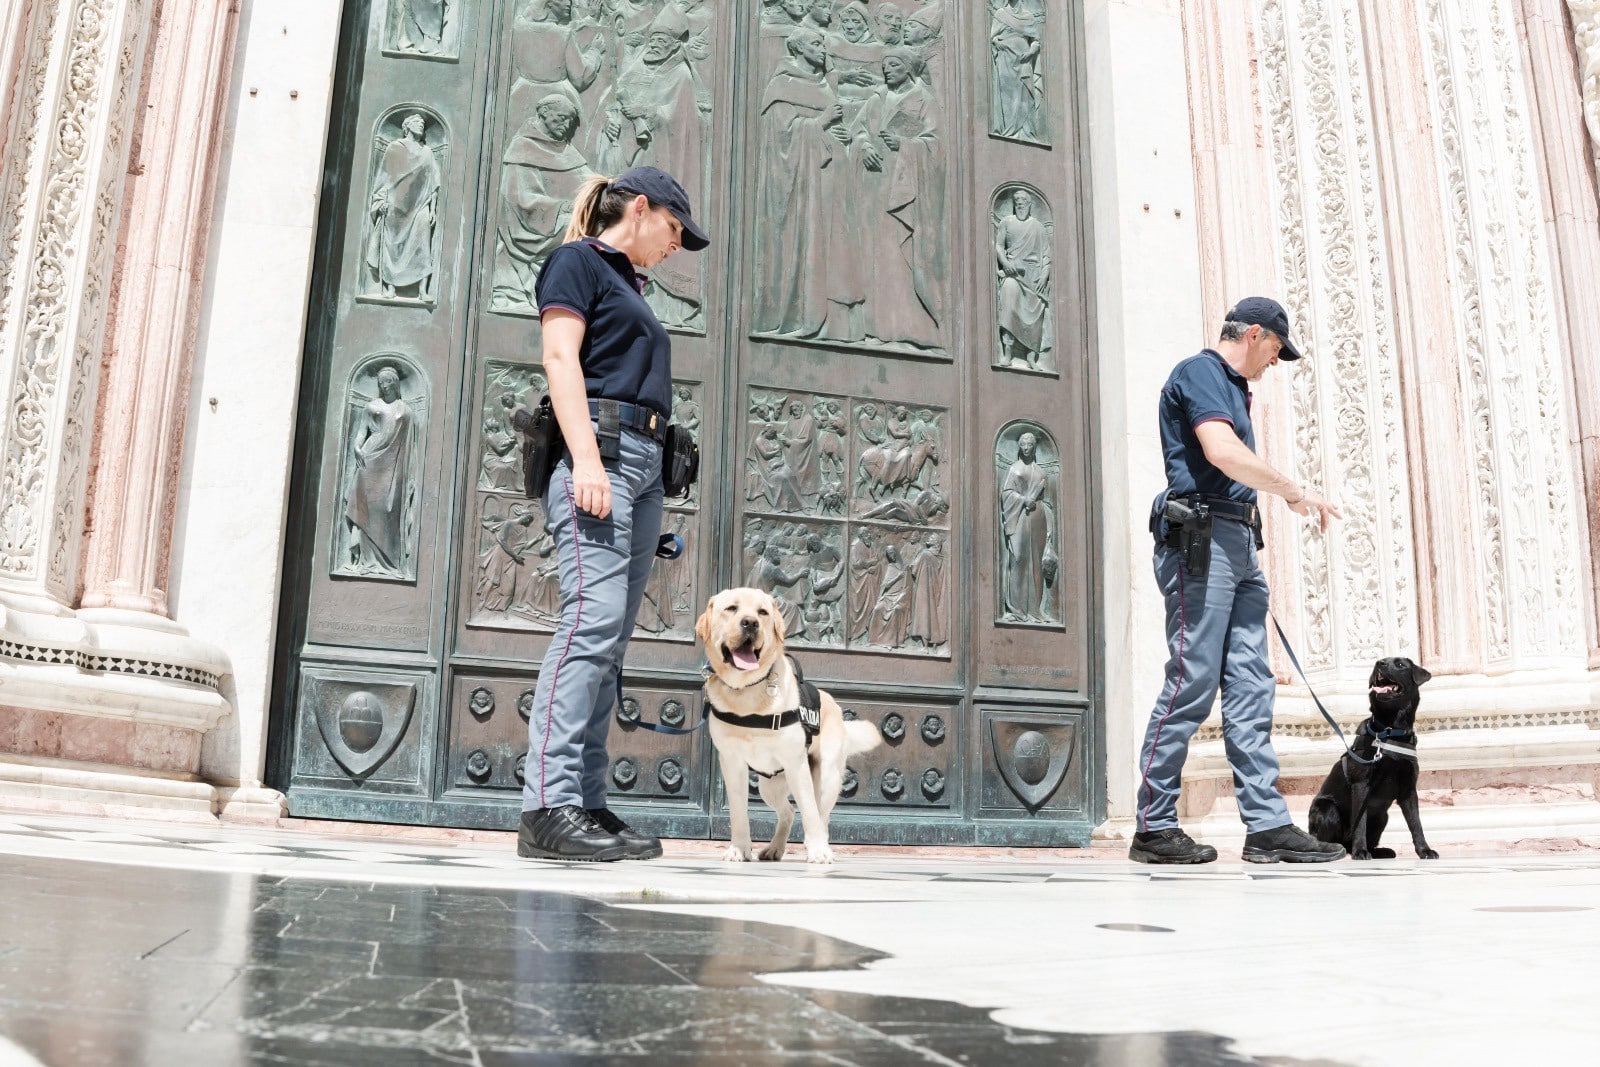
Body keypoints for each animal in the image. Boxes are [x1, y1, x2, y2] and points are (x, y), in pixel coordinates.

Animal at [694, 588, 883, 863]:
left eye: (762, 612)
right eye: (731, 609)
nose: (750, 623)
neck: (748, 690)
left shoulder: (797, 763)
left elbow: (810, 813)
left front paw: (817, 851)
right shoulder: (732, 763)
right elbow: (738, 813)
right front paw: (739, 848)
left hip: (826, 777)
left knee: (820, 815)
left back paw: (822, 846)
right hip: (768, 785)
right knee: (788, 812)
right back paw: (775, 849)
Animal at [1312, 655, 1440, 863]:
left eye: (1400, 664)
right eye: (1381, 662)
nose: (1379, 663)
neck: (1390, 731)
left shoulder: (1409, 789)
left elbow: (1416, 823)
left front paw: (1424, 850)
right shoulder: (1361, 785)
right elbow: (1360, 823)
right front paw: (1361, 852)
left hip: (1382, 816)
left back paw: (1381, 852)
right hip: (1326, 809)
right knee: (1334, 840)